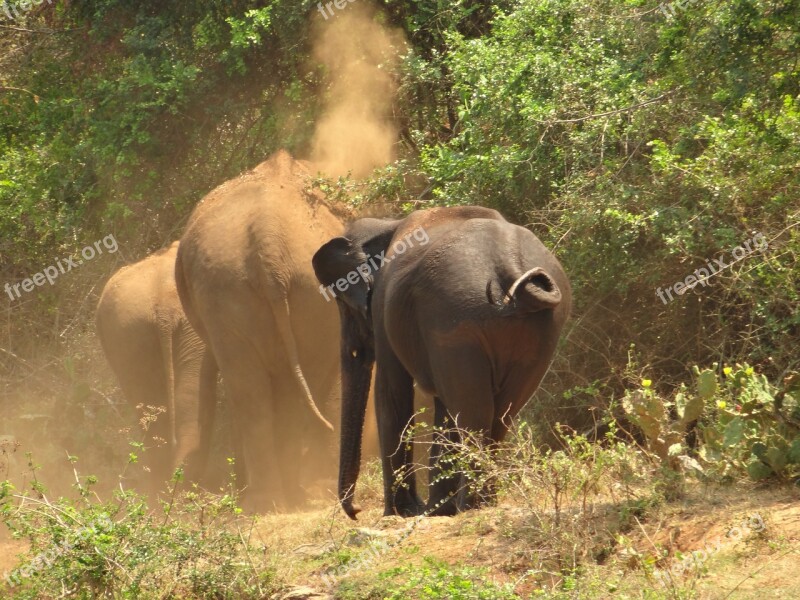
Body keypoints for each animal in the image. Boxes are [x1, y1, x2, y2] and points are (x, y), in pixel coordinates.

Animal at [177, 150, 346, 510]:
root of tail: (268, 240)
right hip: (250, 289)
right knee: (269, 389)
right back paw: (278, 497)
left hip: (247, 290)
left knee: (256, 389)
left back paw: (275, 498)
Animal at [312, 204, 568, 516]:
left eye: (345, 303)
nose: (357, 510)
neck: (387, 225)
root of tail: (509, 263)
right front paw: (433, 510)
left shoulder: (385, 305)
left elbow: (391, 391)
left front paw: (404, 512)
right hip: (540, 329)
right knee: (500, 412)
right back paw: (479, 503)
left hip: (457, 316)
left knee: (474, 410)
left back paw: (470, 505)